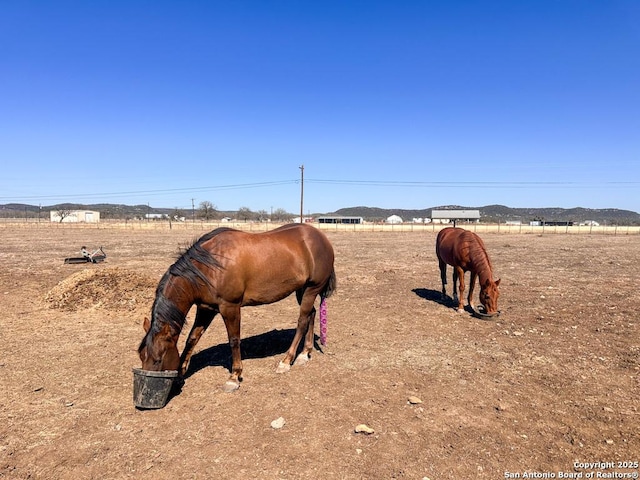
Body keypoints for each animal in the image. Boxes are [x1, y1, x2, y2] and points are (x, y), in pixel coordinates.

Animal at [138, 223, 338, 392]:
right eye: (141, 356)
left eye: (157, 360)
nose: (147, 387)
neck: (209, 265)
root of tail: (321, 237)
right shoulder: (206, 308)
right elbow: (192, 338)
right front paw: (181, 372)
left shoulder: (230, 307)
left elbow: (234, 340)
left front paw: (234, 377)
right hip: (301, 290)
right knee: (312, 314)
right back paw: (305, 353)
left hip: (312, 289)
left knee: (302, 321)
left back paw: (287, 360)